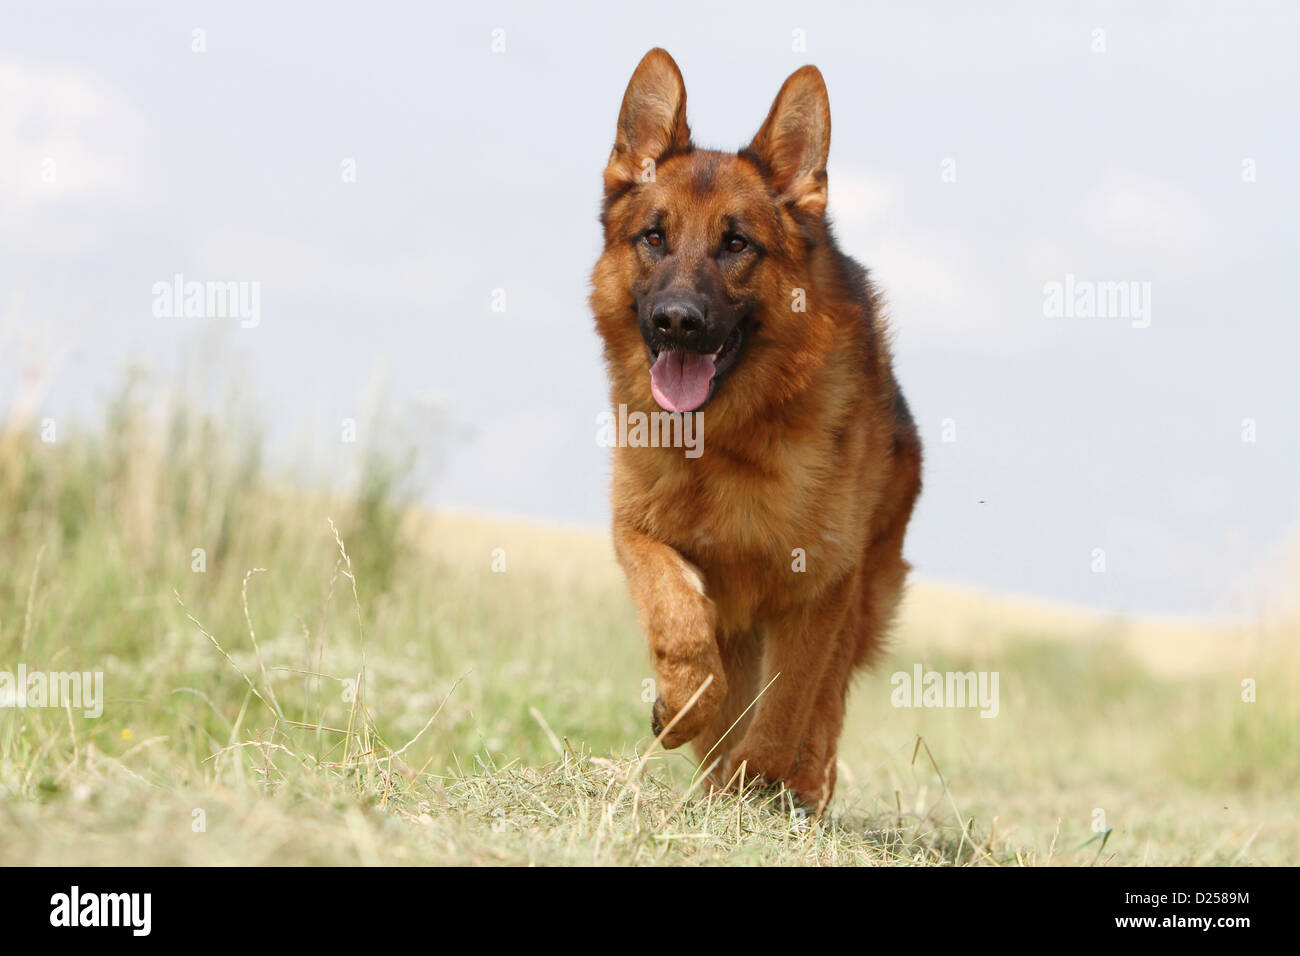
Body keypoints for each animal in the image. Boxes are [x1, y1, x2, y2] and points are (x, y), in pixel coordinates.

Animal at [592, 48, 925, 811]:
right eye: (653, 236)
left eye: (736, 243)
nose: (676, 322)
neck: (725, 444)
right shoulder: (638, 534)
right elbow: (682, 627)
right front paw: (682, 708)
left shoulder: (819, 588)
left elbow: (789, 704)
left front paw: (763, 777)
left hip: (860, 596)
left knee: (824, 704)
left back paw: (796, 786)